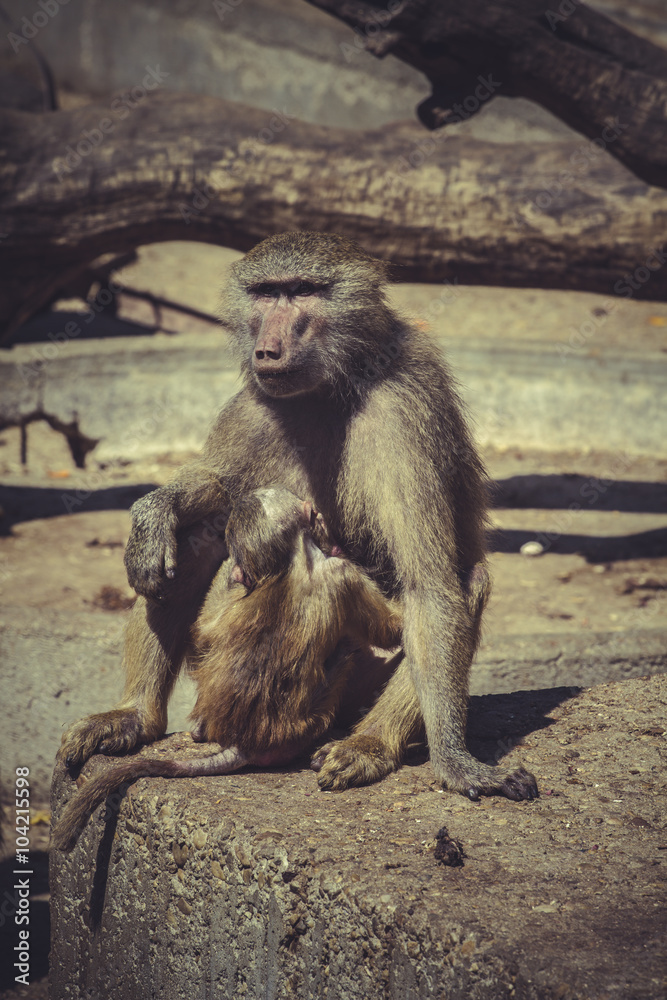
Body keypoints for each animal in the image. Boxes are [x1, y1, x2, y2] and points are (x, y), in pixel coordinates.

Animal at [52, 486, 403, 852]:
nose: (329, 535)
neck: (287, 566)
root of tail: (245, 741)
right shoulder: (343, 573)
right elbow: (394, 631)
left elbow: (204, 632)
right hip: (309, 726)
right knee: (346, 652)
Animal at [58, 231, 538, 804]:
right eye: (267, 293)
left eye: (303, 291)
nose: (267, 349)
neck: (336, 382)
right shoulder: (256, 403)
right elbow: (216, 484)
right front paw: (154, 513)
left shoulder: (401, 409)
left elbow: (429, 586)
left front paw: (458, 764)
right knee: (195, 537)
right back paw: (136, 716)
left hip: (346, 689)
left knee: (467, 582)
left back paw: (371, 744)